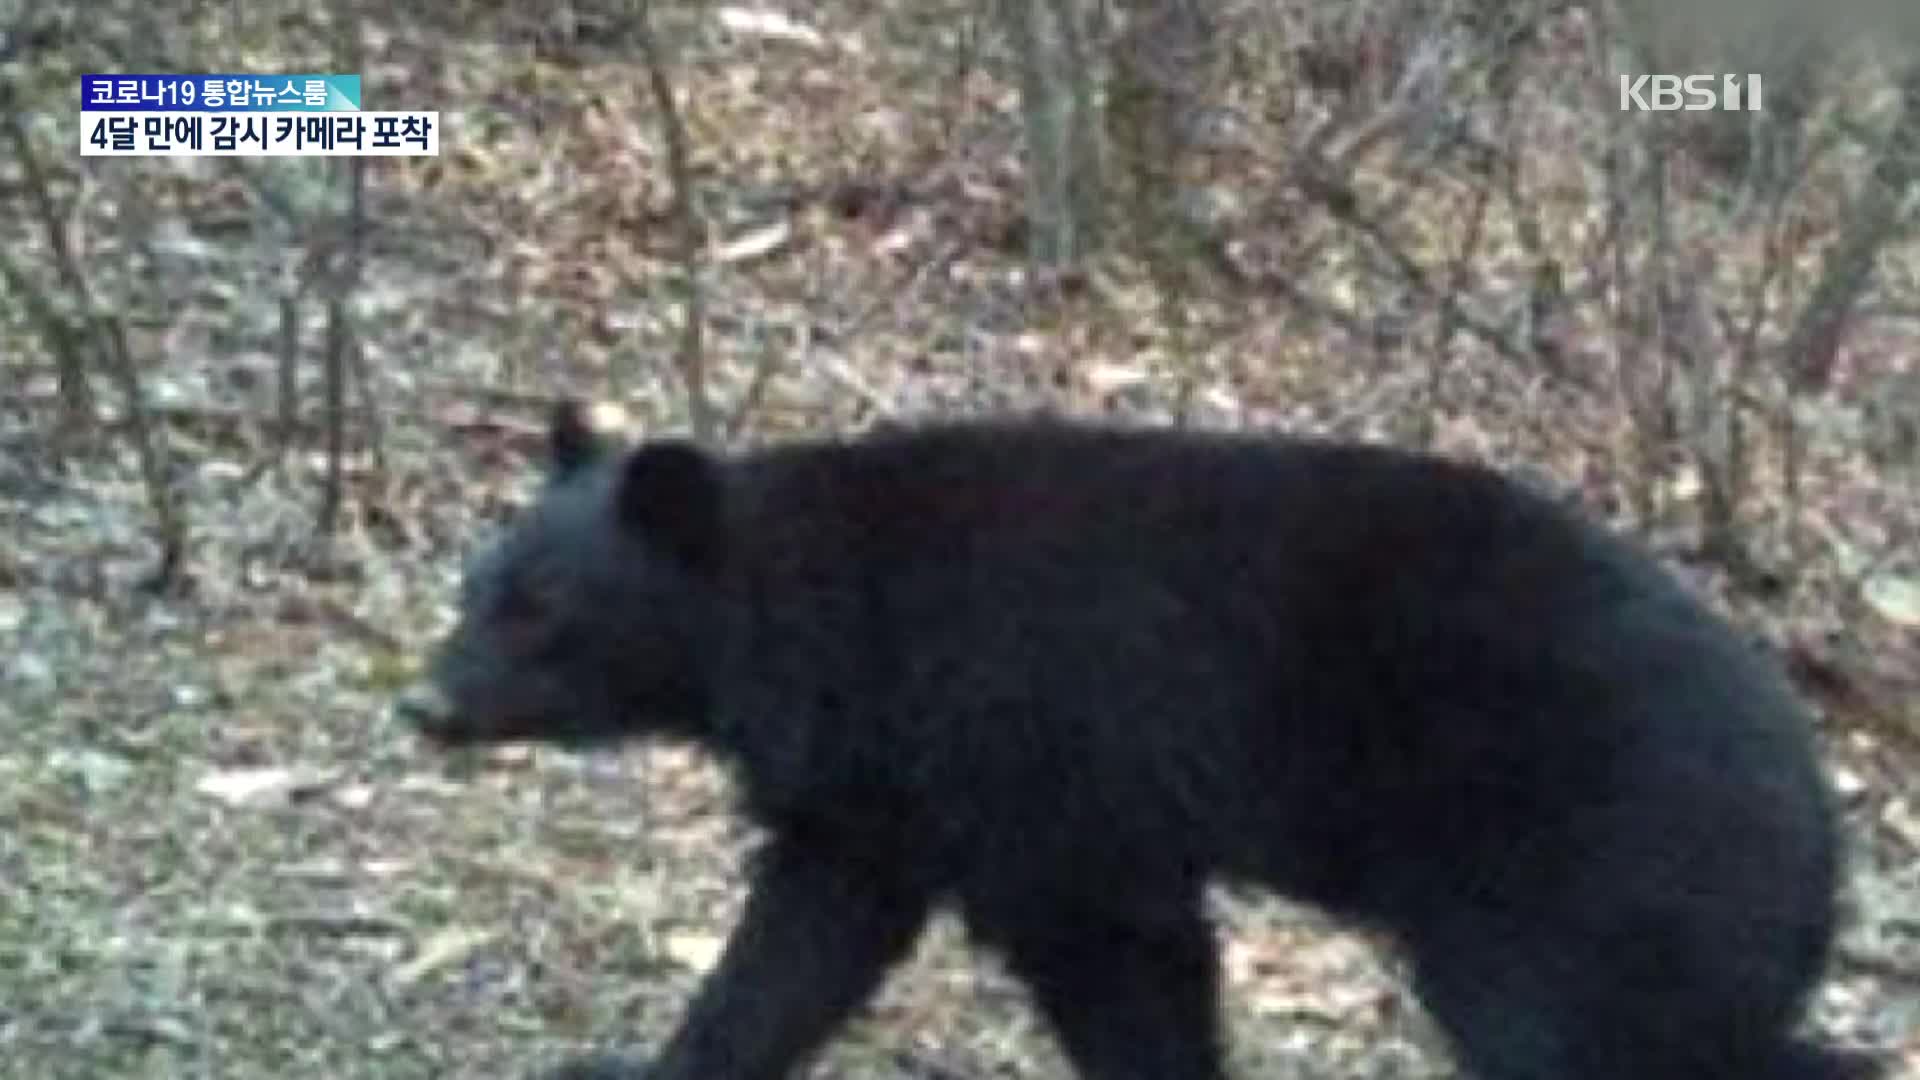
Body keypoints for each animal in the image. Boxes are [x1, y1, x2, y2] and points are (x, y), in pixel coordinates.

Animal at [401, 401, 1873, 1076]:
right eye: (472, 586)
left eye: (540, 613)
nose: (425, 704)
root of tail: (1820, 809)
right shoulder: (882, 793)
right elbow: (800, 944)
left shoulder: (1037, 747)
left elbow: (1117, 947)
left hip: (1578, 862)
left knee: (1578, 1033)